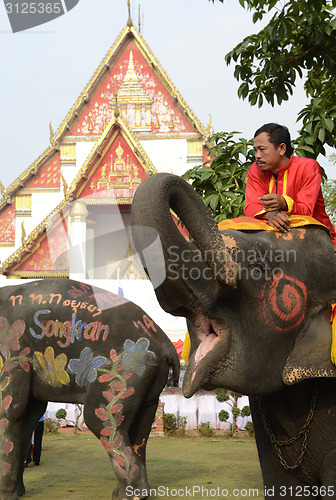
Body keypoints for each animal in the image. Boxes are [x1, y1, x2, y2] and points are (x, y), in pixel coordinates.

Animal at [0, 278, 178, 500]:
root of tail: (167, 344)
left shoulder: (12, 347)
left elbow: (10, 410)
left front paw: (6, 496)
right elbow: (29, 414)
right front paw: (19, 492)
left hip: (129, 368)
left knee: (101, 420)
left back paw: (128, 496)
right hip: (151, 379)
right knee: (140, 429)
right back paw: (133, 493)